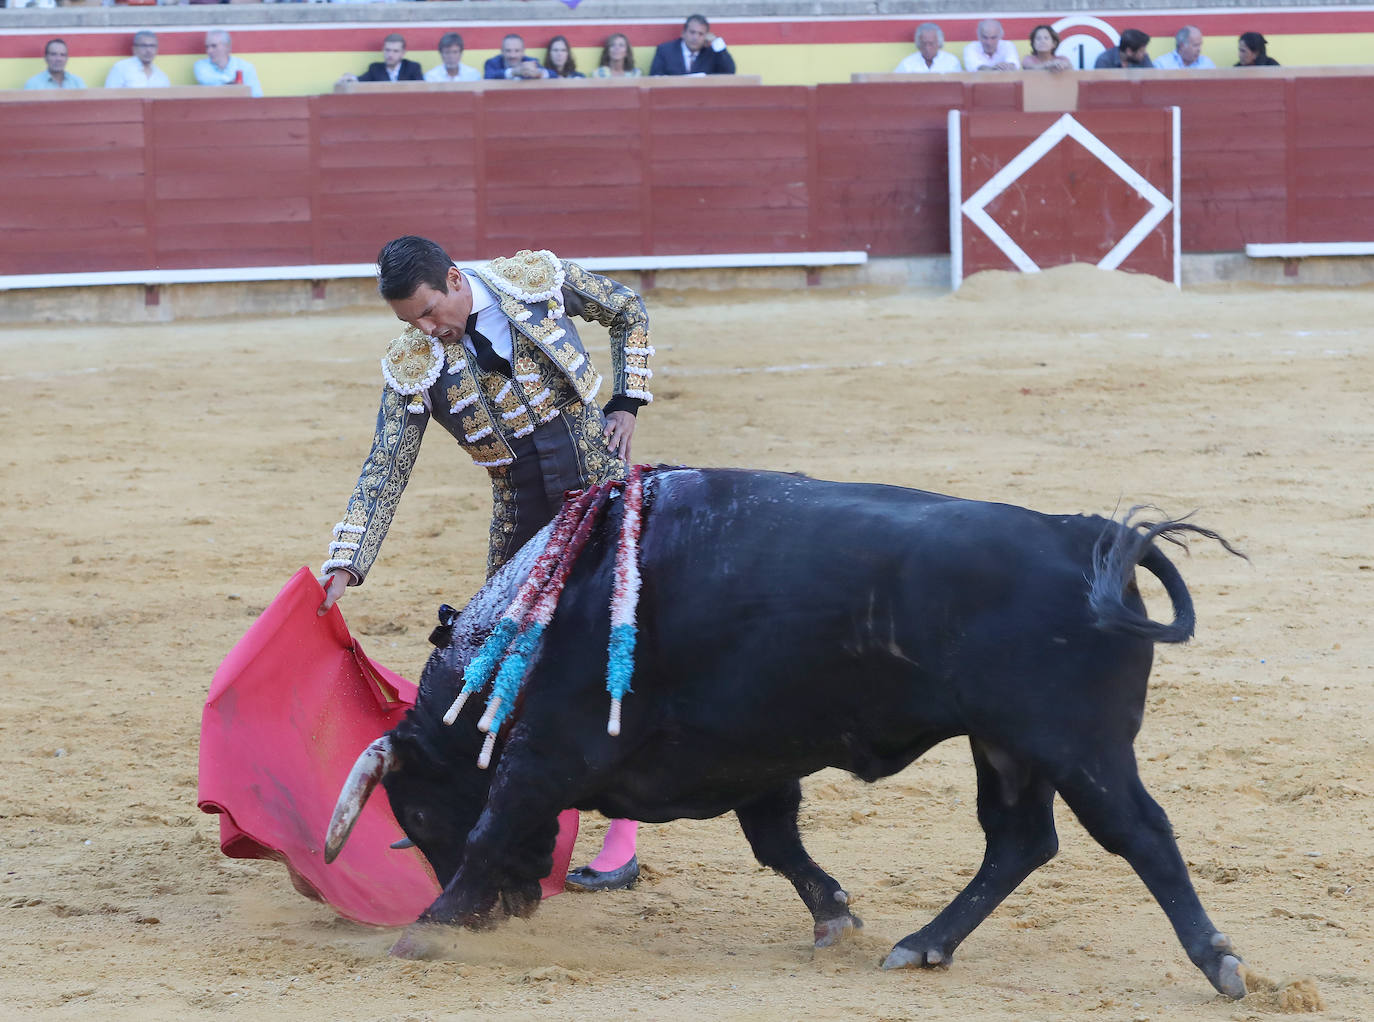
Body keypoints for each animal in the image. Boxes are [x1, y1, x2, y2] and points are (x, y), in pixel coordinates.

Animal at [327, 469, 1253, 1000]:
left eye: (417, 816)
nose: (509, 913)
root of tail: (1087, 531)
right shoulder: (751, 756)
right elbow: (777, 842)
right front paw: (836, 918)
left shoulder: (551, 753)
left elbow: (493, 828)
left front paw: (430, 929)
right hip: (1008, 747)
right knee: (1019, 841)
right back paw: (922, 946)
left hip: (1079, 745)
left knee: (1139, 834)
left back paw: (1218, 962)